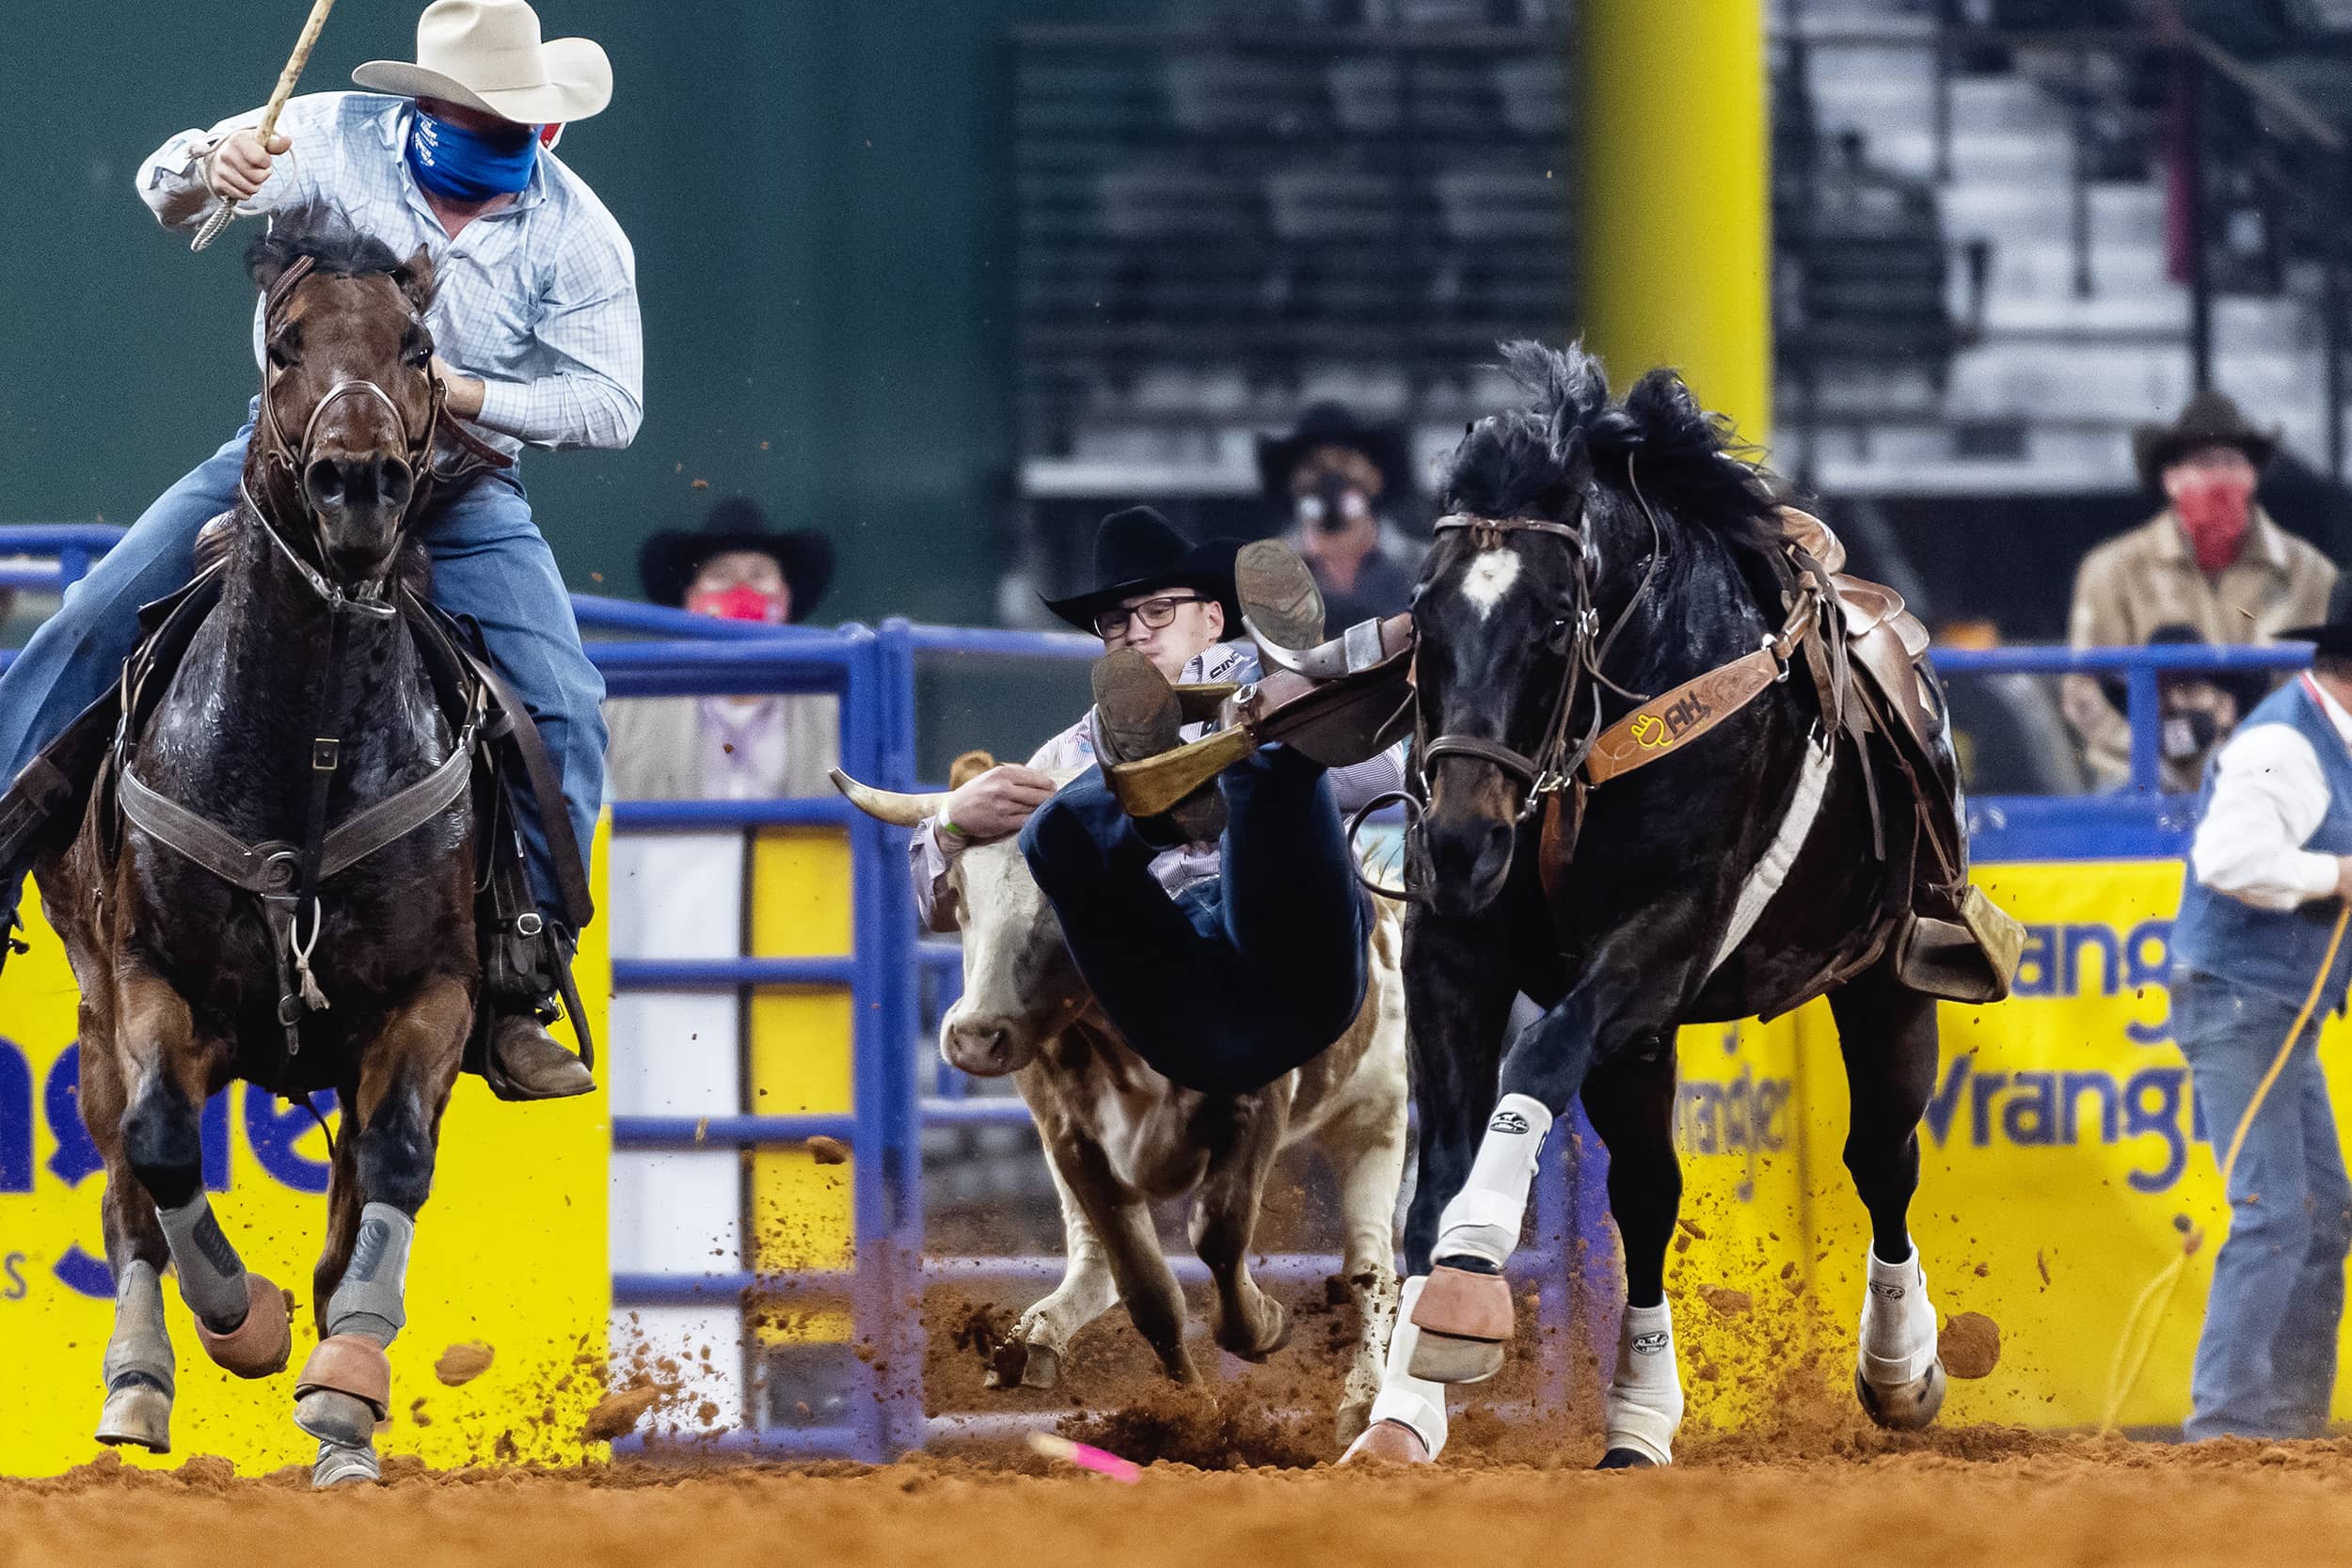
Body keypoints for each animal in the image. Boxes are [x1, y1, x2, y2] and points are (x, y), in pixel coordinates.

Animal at [1345, 345, 1966, 1476]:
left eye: (1553, 621)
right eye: (1425, 613)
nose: (1459, 838)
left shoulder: (1667, 937)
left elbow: (1537, 1055)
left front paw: (1471, 1269)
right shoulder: (1453, 944)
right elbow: (1438, 1171)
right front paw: (1403, 1409)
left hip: (1885, 982)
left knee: (1880, 1156)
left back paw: (1901, 1368)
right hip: (1642, 1041)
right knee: (1646, 1193)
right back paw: (1638, 1418)